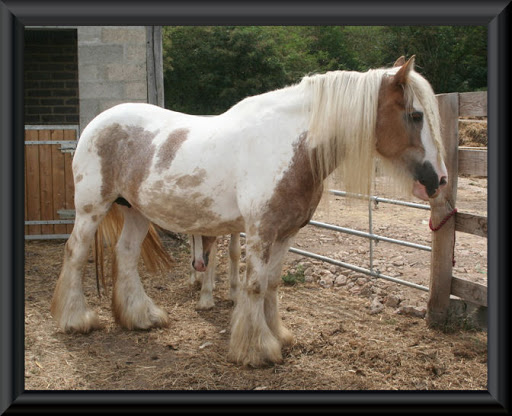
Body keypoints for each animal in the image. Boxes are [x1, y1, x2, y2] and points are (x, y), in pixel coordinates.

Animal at [49, 56, 448, 368]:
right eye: (415, 115)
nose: (439, 179)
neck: (288, 145)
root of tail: (98, 122)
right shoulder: (260, 232)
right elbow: (254, 285)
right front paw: (256, 350)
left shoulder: (286, 234)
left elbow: (271, 285)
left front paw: (279, 336)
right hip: (91, 208)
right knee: (75, 253)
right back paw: (75, 320)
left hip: (136, 212)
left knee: (127, 255)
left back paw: (141, 318)